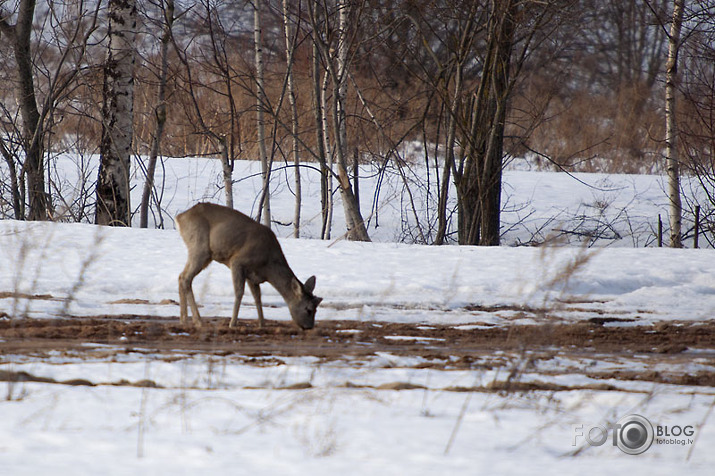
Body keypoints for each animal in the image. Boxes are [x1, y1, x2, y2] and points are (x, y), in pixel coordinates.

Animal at [176, 202, 322, 330]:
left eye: (316, 310)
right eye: (308, 309)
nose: (309, 327)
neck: (268, 265)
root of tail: (180, 218)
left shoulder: (253, 276)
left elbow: (257, 297)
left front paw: (262, 324)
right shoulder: (237, 262)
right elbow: (239, 292)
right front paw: (233, 323)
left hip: (203, 254)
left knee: (181, 276)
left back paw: (183, 320)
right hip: (200, 248)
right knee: (186, 278)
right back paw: (198, 321)